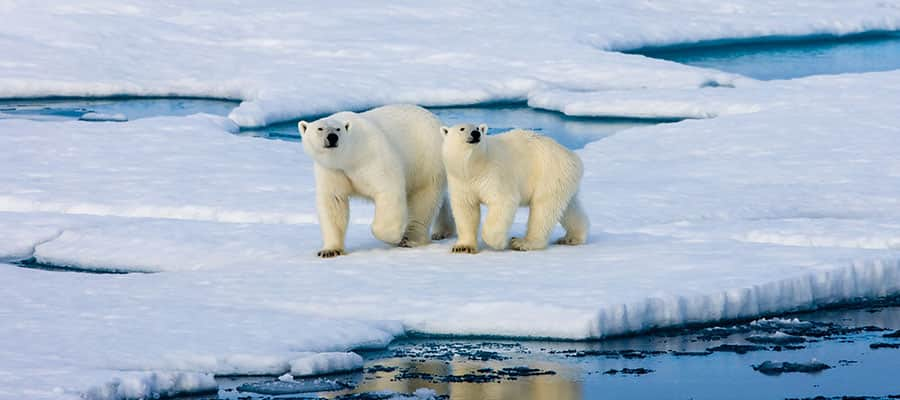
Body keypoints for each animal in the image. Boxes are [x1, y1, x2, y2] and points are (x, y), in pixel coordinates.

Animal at [300, 104, 454, 258]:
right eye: (320, 128)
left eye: (338, 129)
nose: (332, 137)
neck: (349, 156)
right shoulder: (332, 170)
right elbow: (334, 202)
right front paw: (330, 250)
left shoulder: (371, 156)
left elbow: (388, 189)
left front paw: (394, 237)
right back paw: (442, 231)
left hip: (426, 158)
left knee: (423, 198)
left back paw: (410, 239)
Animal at [440, 123, 588, 252]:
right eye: (462, 128)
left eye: (477, 128)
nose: (476, 134)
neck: (473, 167)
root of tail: (573, 156)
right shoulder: (461, 181)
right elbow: (466, 209)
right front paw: (463, 247)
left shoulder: (494, 173)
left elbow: (503, 201)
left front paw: (499, 243)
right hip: (563, 179)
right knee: (568, 207)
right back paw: (572, 237)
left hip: (549, 172)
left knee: (543, 208)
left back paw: (522, 243)